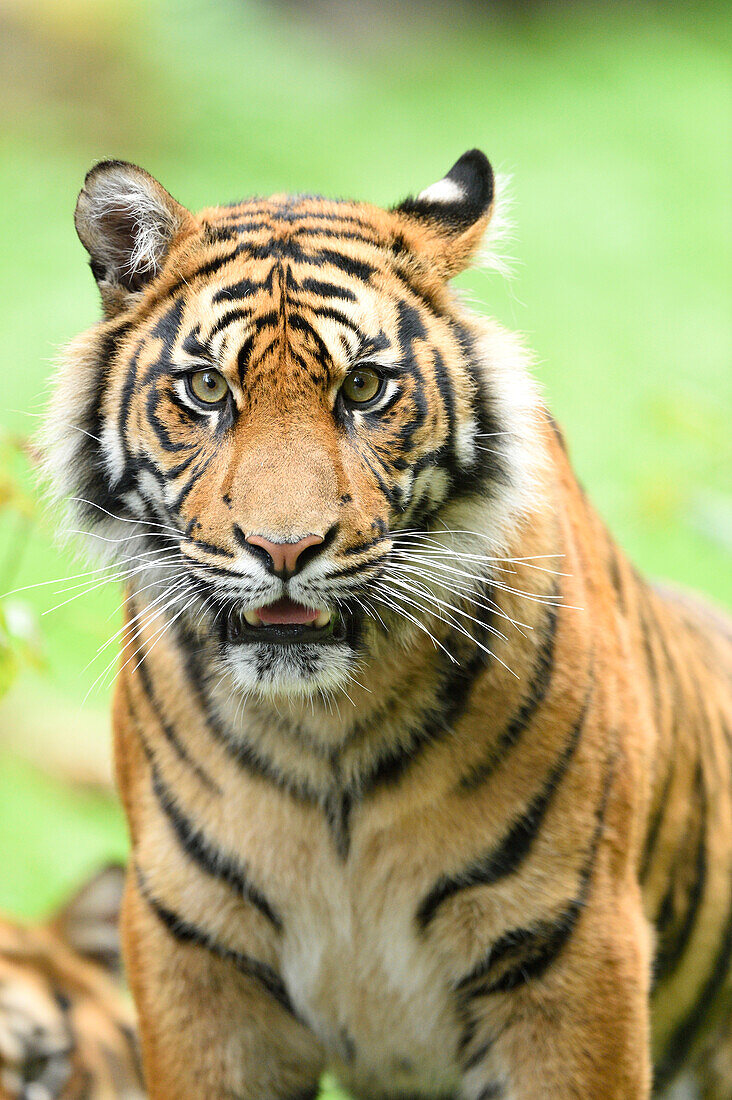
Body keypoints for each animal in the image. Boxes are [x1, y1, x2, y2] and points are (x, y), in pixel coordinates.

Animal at [41, 152, 730, 1100]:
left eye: (364, 387)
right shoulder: (194, 951)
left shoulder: (571, 945)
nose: (283, 547)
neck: (324, 731)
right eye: (207, 388)